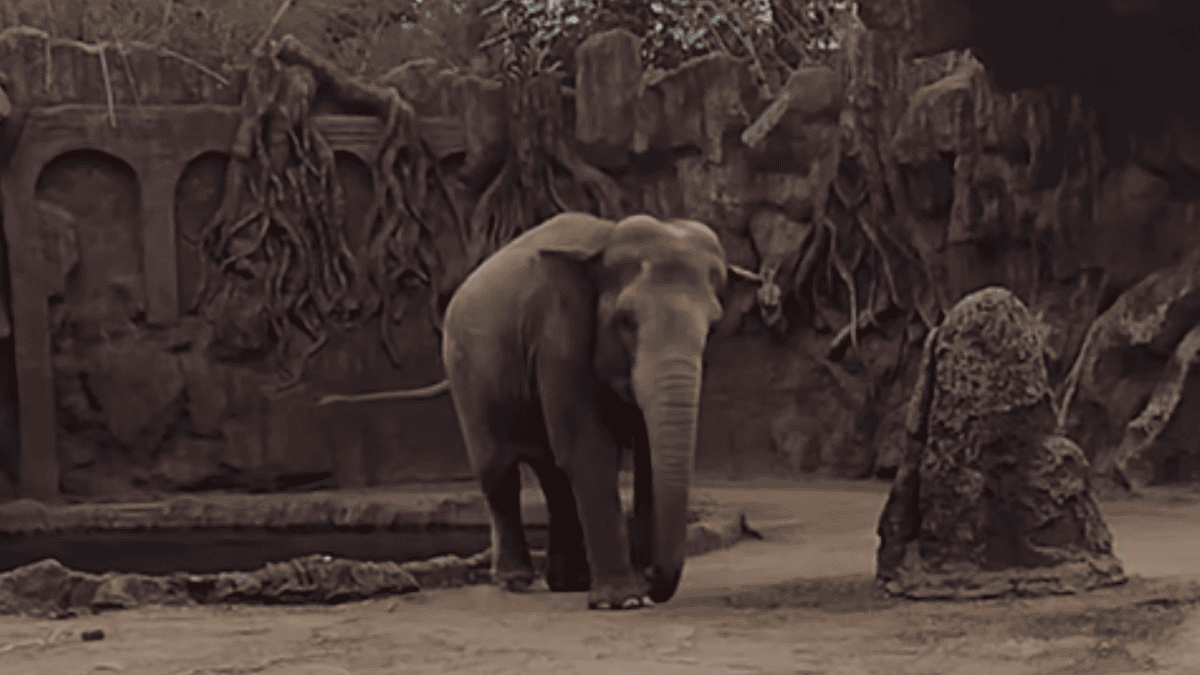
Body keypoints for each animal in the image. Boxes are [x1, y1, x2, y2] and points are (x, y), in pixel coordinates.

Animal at [318, 212, 729, 610]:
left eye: (712, 326)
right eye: (626, 320)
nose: (652, 580)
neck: (604, 241)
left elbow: (644, 460)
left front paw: (632, 588)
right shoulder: (557, 338)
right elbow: (590, 448)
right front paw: (624, 601)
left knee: (553, 471)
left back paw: (569, 582)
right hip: (468, 377)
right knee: (499, 472)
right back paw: (516, 581)